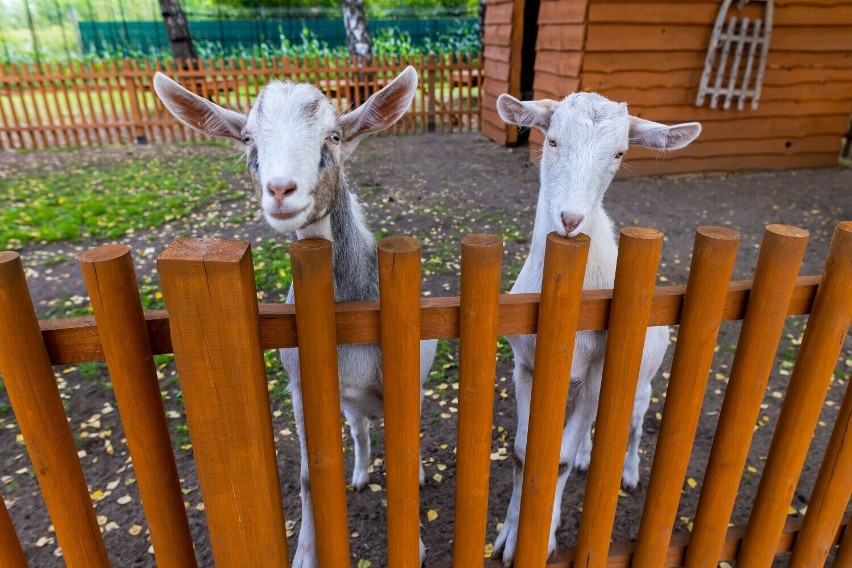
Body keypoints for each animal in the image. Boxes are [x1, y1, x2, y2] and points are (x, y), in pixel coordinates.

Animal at [151, 67, 440, 568]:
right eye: (247, 137)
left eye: (334, 135)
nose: (281, 191)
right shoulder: (301, 385)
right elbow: (308, 473)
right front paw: (305, 552)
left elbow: (403, 450)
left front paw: (417, 545)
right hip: (348, 402)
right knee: (360, 430)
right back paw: (359, 475)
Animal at [490, 91, 704, 560]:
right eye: (551, 140)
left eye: (620, 153)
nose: (570, 220)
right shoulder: (526, 365)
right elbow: (524, 452)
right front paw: (508, 537)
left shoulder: (600, 369)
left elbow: (560, 458)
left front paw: (542, 540)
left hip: (644, 381)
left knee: (635, 423)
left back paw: (629, 473)